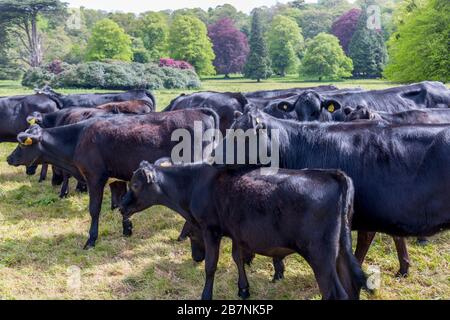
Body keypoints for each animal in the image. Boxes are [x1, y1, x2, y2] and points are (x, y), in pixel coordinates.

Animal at [6, 109, 219, 249]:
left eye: (22, 144)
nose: (9, 158)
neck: (78, 138)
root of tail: (200, 111)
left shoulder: (94, 178)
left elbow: (94, 209)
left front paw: (91, 240)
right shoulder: (118, 179)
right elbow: (121, 204)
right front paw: (127, 229)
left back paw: (183, 235)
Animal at [119, 161, 366, 302]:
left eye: (135, 185)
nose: (121, 206)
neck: (194, 184)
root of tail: (332, 174)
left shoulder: (211, 229)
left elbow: (211, 266)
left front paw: (206, 295)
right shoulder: (237, 231)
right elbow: (237, 258)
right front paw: (244, 289)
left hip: (319, 254)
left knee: (335, 293)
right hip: (340, 249)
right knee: (351, 284)